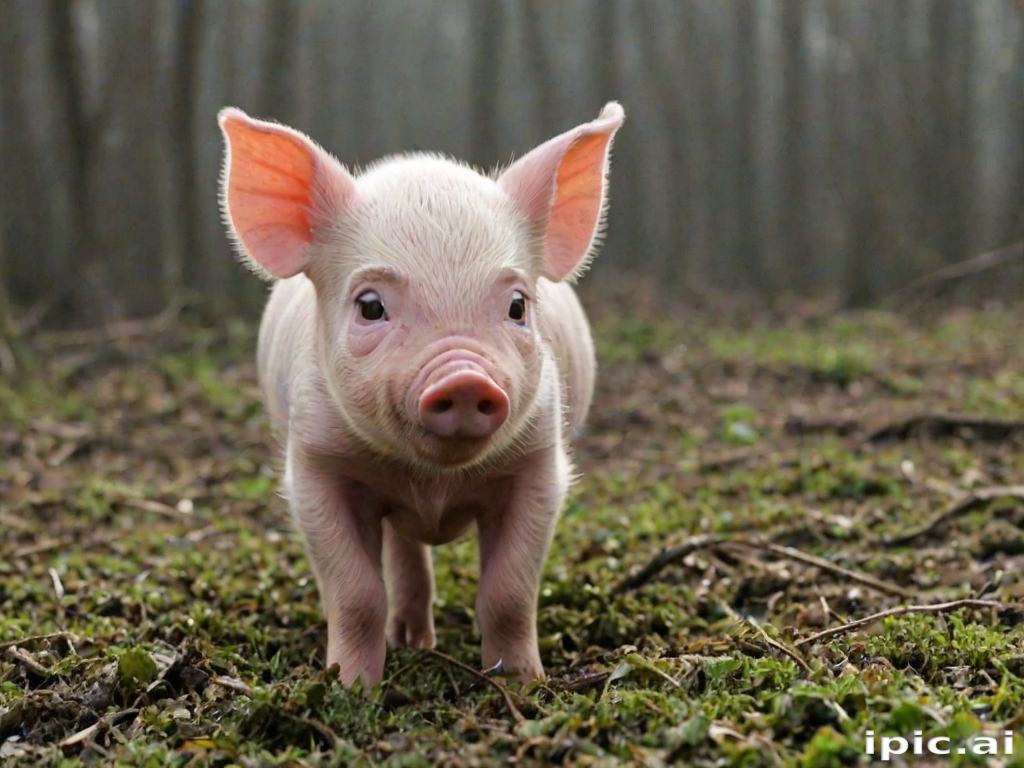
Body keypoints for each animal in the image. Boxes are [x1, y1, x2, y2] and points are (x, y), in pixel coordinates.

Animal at [217, 102, 625, 688]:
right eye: (370, 306)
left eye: (518, 305)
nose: (464, 378)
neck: (433, 482)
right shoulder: (315, 467)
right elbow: (357, 594)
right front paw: (352, 688)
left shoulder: (539, 464)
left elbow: (509, 591)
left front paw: (522, 682)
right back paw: (410, 642)